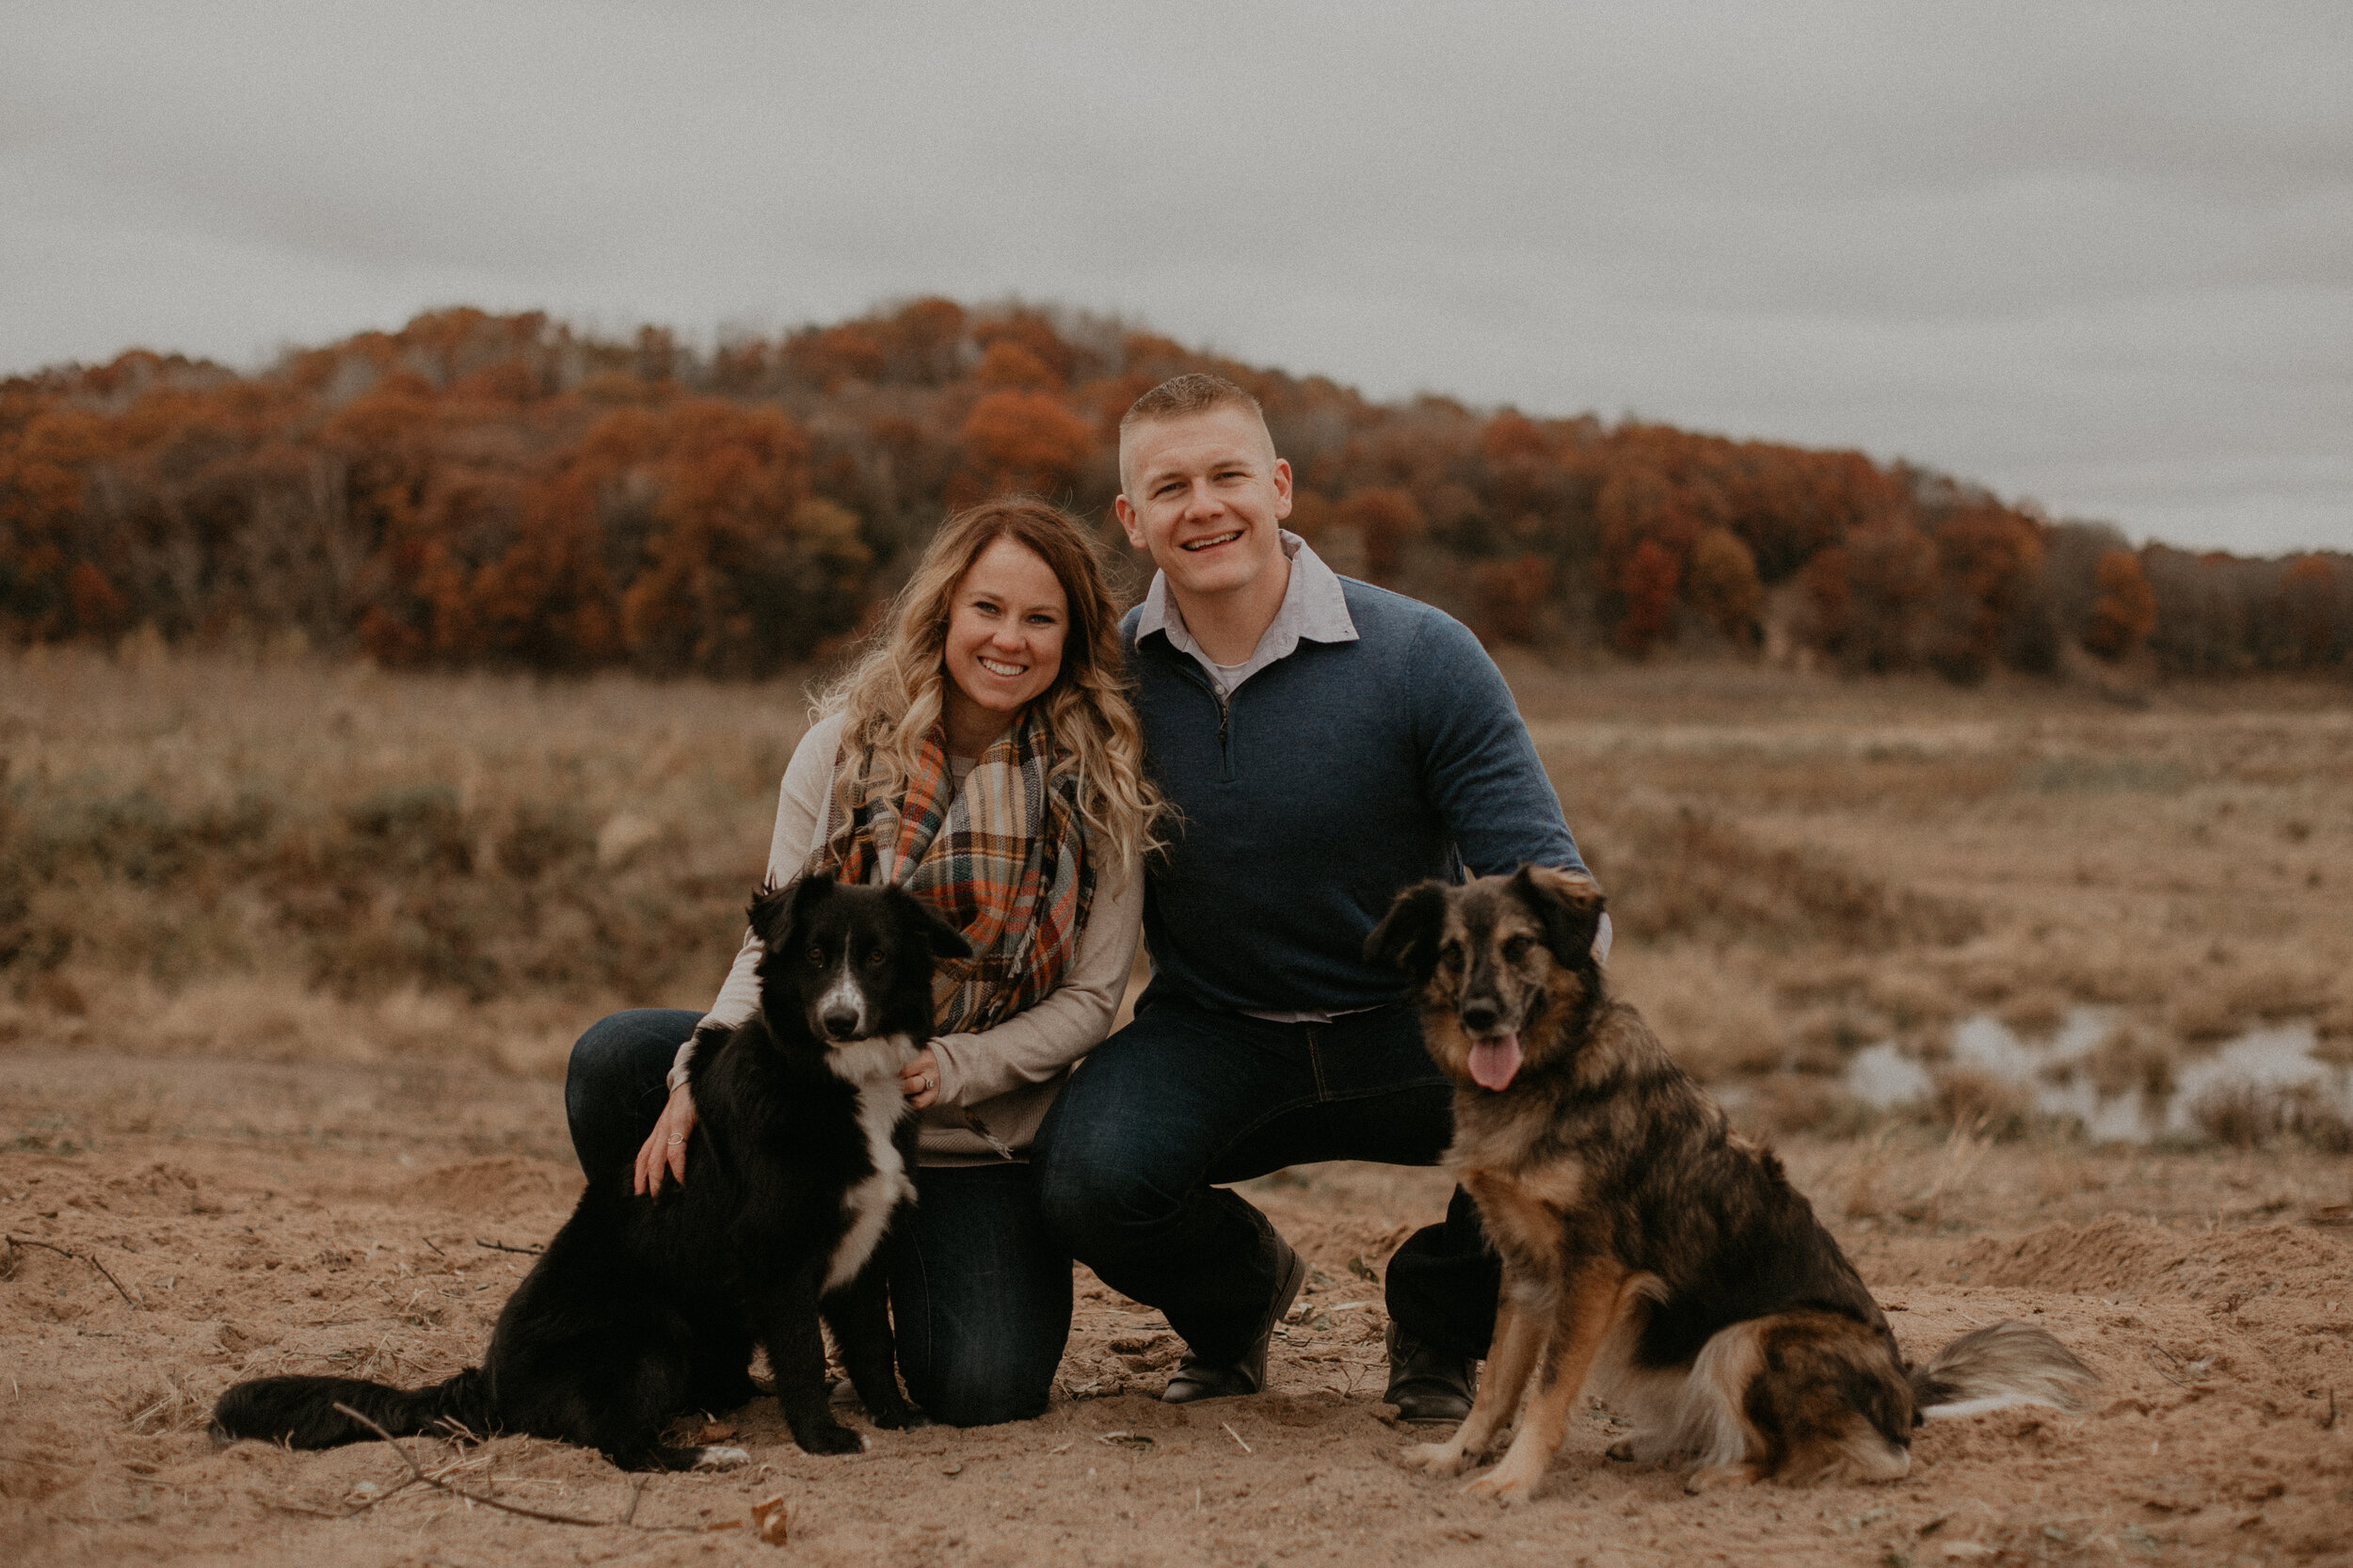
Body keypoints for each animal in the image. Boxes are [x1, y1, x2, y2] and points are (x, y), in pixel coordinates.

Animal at [212, 880, 965, 1468]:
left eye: (876, 957)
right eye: (813, 956)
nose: (839, 1019)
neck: (834, 1078)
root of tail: (488, 1386)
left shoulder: (863, 1246)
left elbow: (872, 1343)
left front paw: (896, 1416)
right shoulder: (778, 1257)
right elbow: (805, 1356)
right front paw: (823, 1439)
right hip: (652, 1334)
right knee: (620, 1446)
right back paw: (710, 1453)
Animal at [1365, 861, 2099, 1496]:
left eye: (1519, 946)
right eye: (1452, 953)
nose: (1480, 1015)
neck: (1551, 1071)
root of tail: (1903, 1393)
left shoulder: (1593, 1272)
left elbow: (1547, 1391)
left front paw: (1513, 1480)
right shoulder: (1524, 1271)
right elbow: (1498, 1384)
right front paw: (1458, 1453)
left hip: (1748, 1339)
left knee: (1868, 1458)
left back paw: (1725, 1472)